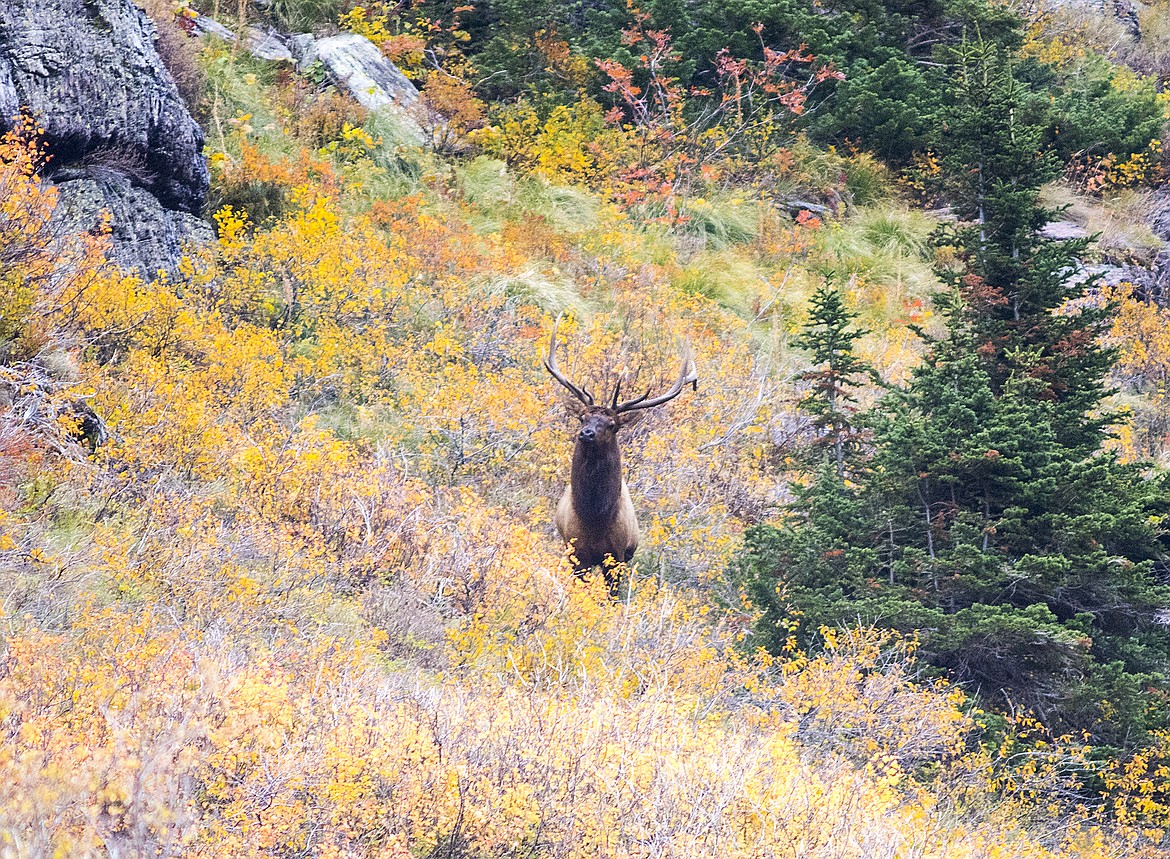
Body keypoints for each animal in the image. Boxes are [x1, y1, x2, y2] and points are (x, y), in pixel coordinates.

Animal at [545, 320, 697, 589]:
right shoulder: (577, 553)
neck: (595, 518)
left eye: (612, 424)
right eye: (582, 417)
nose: (586, 434)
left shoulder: (617, 556)